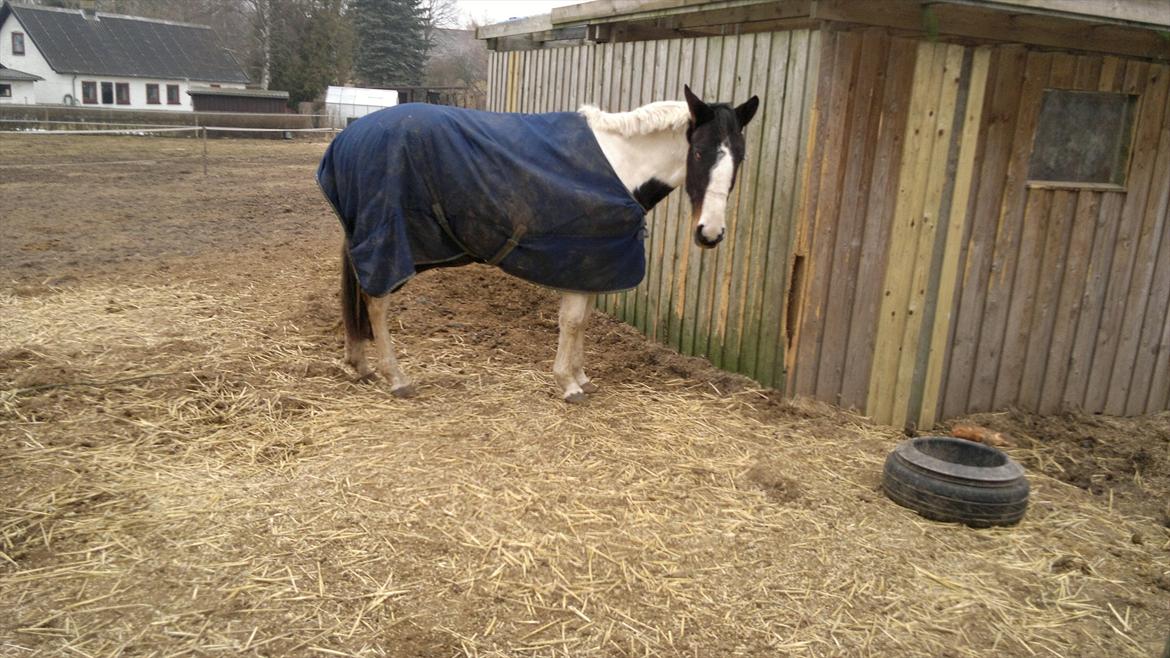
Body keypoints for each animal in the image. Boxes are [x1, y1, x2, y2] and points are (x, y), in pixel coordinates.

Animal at [318, 82, 758, 400]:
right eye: (698, 153)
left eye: (739, 156)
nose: (710, 233)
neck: (621, 164)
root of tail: (348, 137)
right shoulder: (584, 256)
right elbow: (573, 320)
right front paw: (569, 383)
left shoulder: (594, 264)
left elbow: (582, 321)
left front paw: (580, 375)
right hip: (387, 244)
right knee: (376, 303)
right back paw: (396, 378)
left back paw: (359, 364)